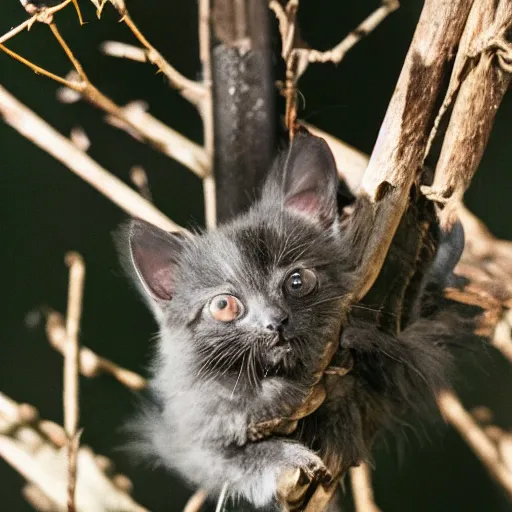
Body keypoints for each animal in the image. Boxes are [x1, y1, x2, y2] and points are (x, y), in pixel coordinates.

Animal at [117, 132, 480, 508]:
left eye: (296, 281)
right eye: (224, 305)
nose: (275, 321)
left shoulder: (407, 357)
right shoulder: (189, 438)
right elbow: (238, 456)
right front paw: (286, 445)